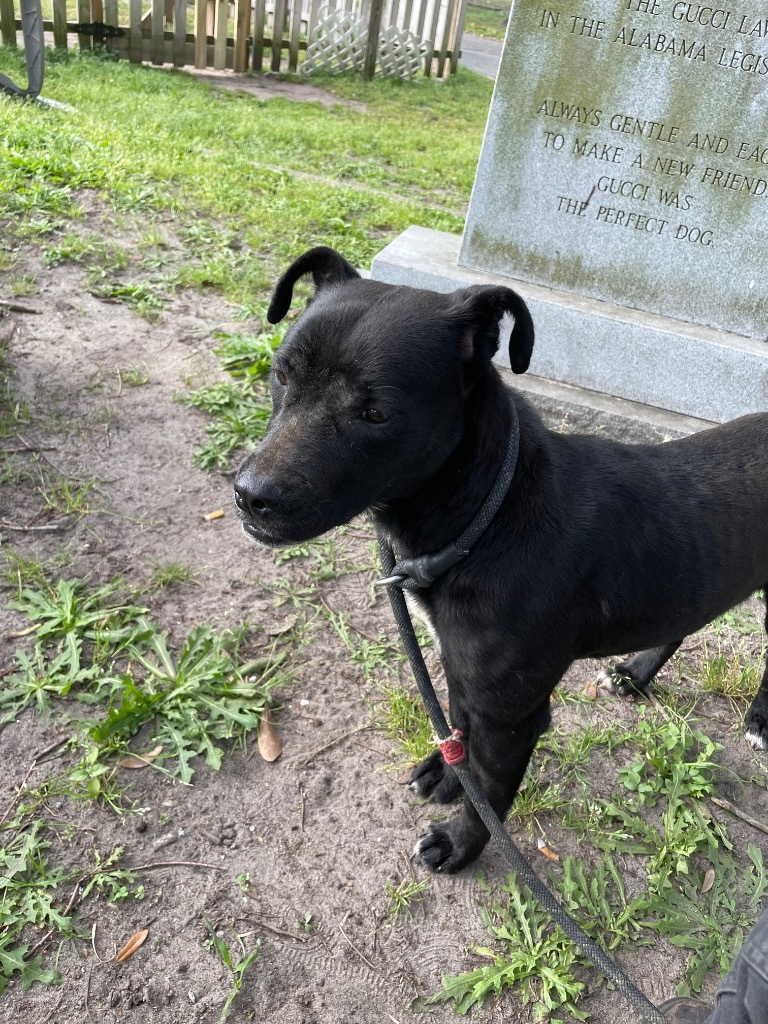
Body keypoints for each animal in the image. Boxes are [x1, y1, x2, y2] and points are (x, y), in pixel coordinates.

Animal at [234, 245, 768, 872]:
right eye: (281, 374)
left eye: (376, 413)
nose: (250, 496)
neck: (488, 514)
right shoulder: (463, 670)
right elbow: (458, 727)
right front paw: (447, 772)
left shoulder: (512, 716)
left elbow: (489, 791)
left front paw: (460, 843)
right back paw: (635, 676)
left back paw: (759, 720)